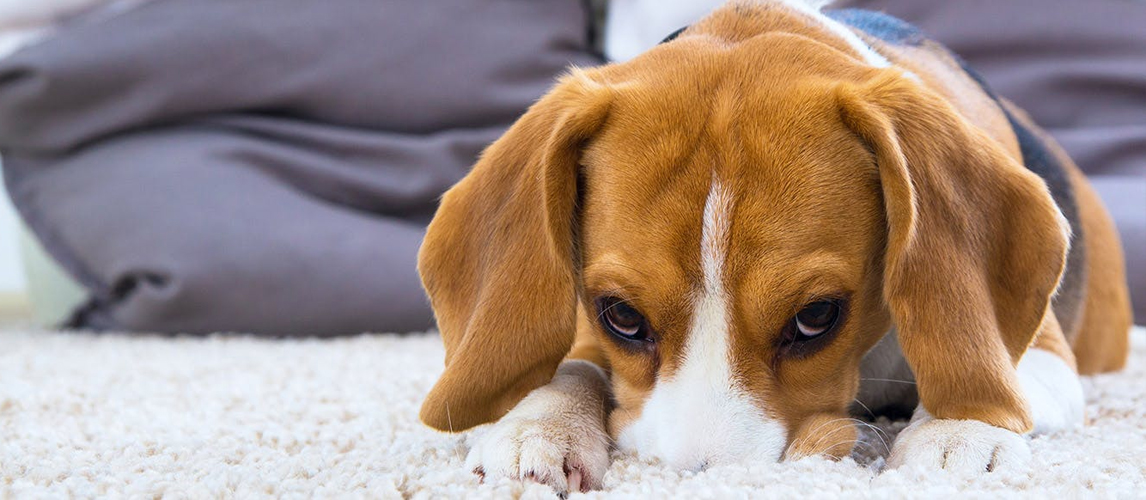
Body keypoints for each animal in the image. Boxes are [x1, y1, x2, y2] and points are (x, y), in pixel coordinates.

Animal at [414, 0, 1136, 493]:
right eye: (620, 315)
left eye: (816, 317)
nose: (704, 478)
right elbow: (570, 366)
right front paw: (536, 426)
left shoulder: (1048, 356)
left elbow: (981, 372)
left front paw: (958, 430)